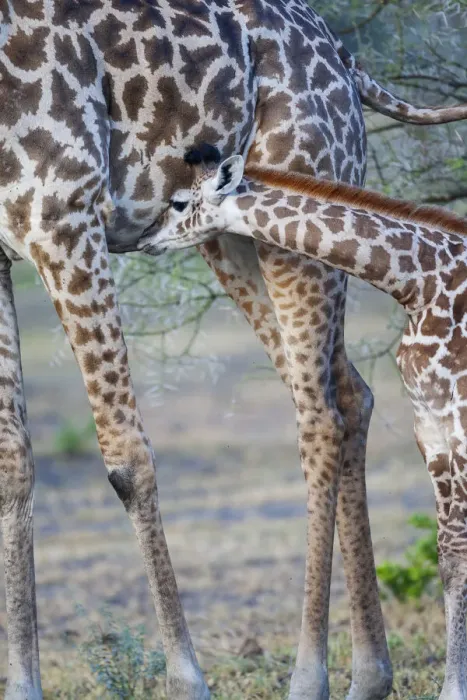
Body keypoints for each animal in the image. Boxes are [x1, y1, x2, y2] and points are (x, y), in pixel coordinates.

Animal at [138, 151, 467, 700]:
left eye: (181, 201)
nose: (145, 238)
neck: (419, 281)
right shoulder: (431, 427)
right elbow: (449, 556)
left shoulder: (458, 417)